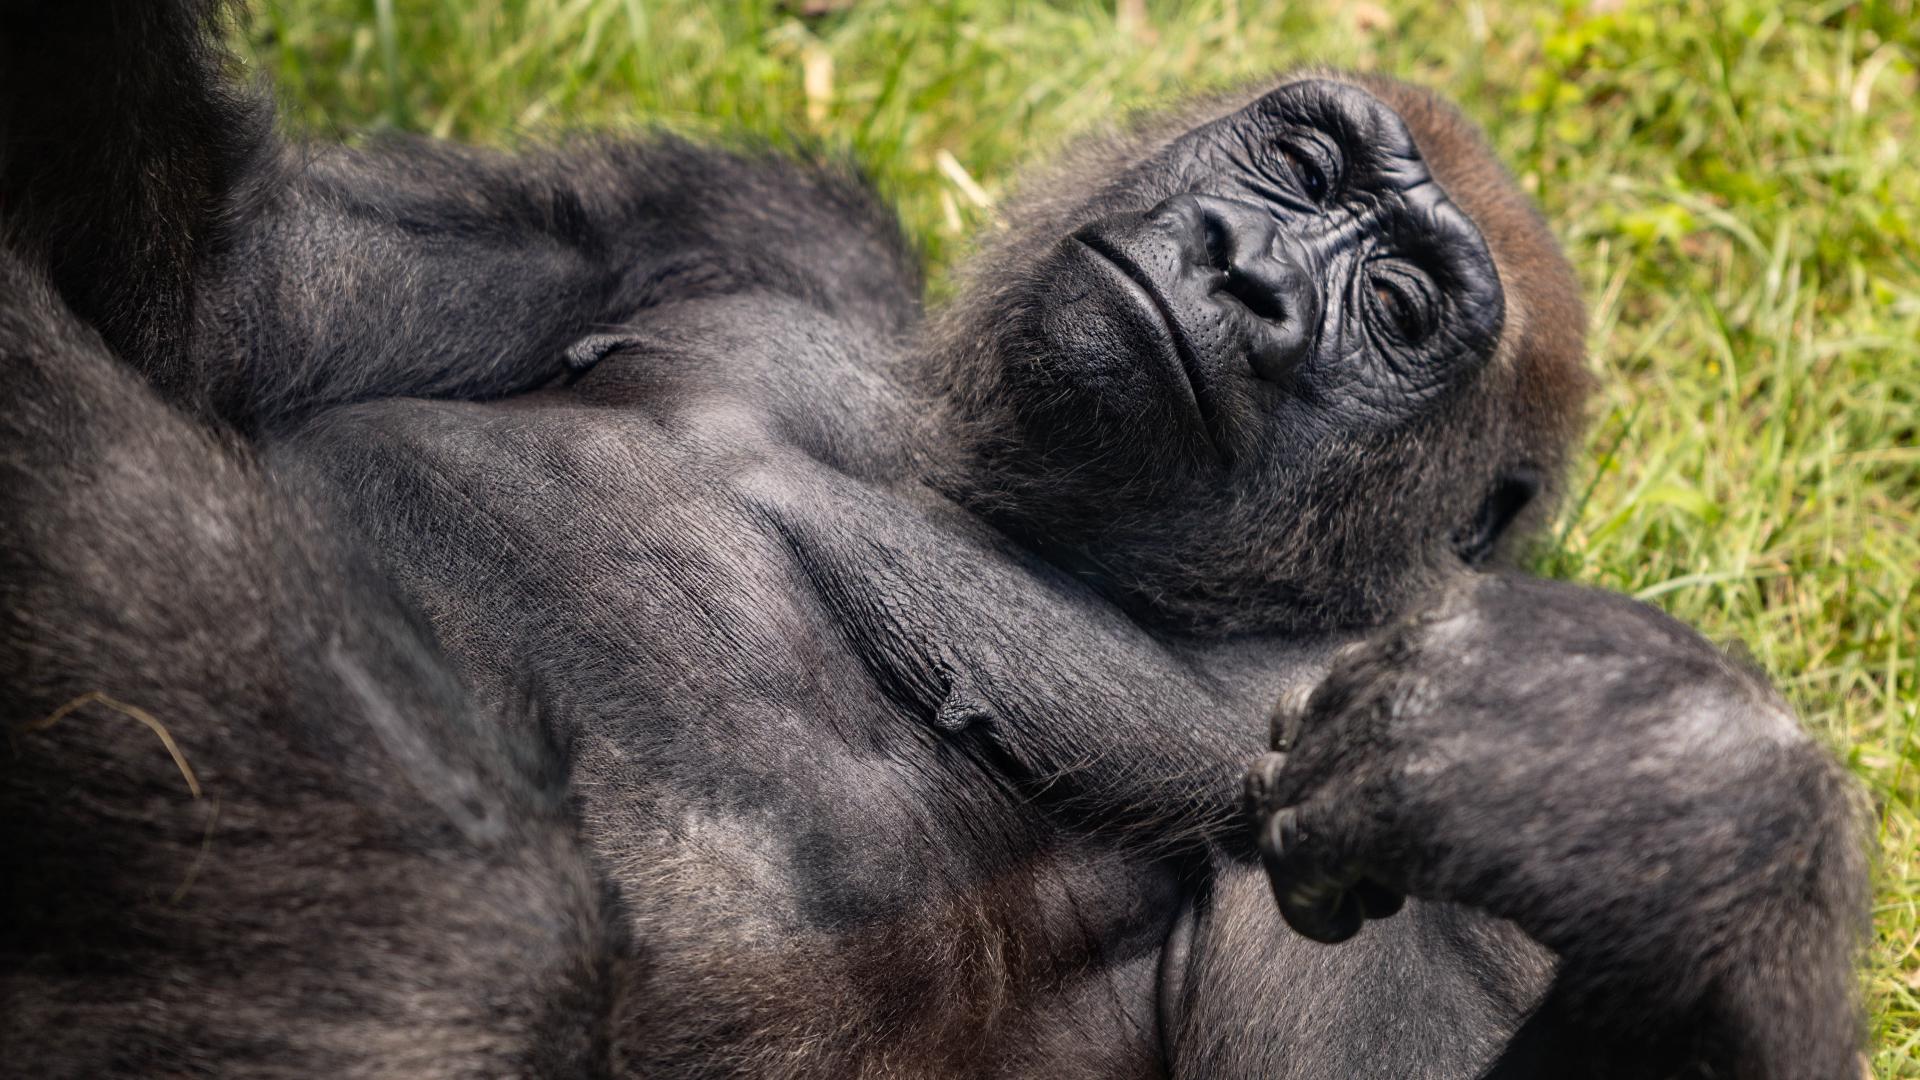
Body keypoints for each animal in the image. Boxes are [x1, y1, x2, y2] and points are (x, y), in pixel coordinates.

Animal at [0, 2, 1858, 1076]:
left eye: (1396, 310)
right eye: (1300, 160)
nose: (1243, 272)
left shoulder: (1367, 746)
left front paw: (1658, 776)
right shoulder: (753, 221)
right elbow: (223, 301)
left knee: (483, 949)